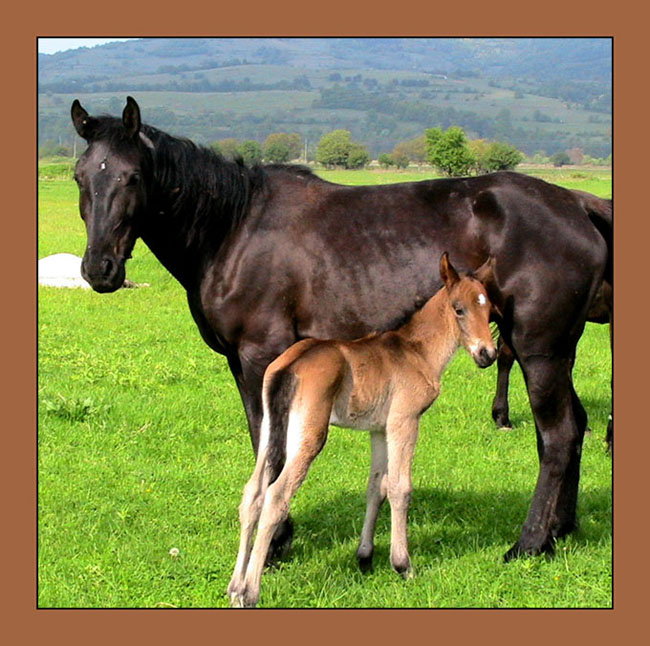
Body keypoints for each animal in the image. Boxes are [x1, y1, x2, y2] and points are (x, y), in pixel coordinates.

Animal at [70, 96, 611, 563]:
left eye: (132, 176)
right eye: (80, 177)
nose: (99, 269)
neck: (233, 230)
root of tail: (577, 204)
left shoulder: (261, 357)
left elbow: (271, 447)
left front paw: (275, 544)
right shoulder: (244, 364)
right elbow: (264, 443)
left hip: (539, 351)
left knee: (557, 435)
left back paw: (530, 543)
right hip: (556, 351)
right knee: (574, 426)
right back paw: (561, 529)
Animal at [227, 253, 497, 607]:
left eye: (488, 308)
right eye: (459, 309)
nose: (487, 354)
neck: (416, 351)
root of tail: (290, 366)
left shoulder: (379, 430)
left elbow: (375, 487)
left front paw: (365, 557)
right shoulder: (404, 422)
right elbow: (399, 487)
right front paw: (403, 565)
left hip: (271, 429)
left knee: (252, 493)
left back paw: (234, 588)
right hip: (309, 437)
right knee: (276, 495)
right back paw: (250, 592)